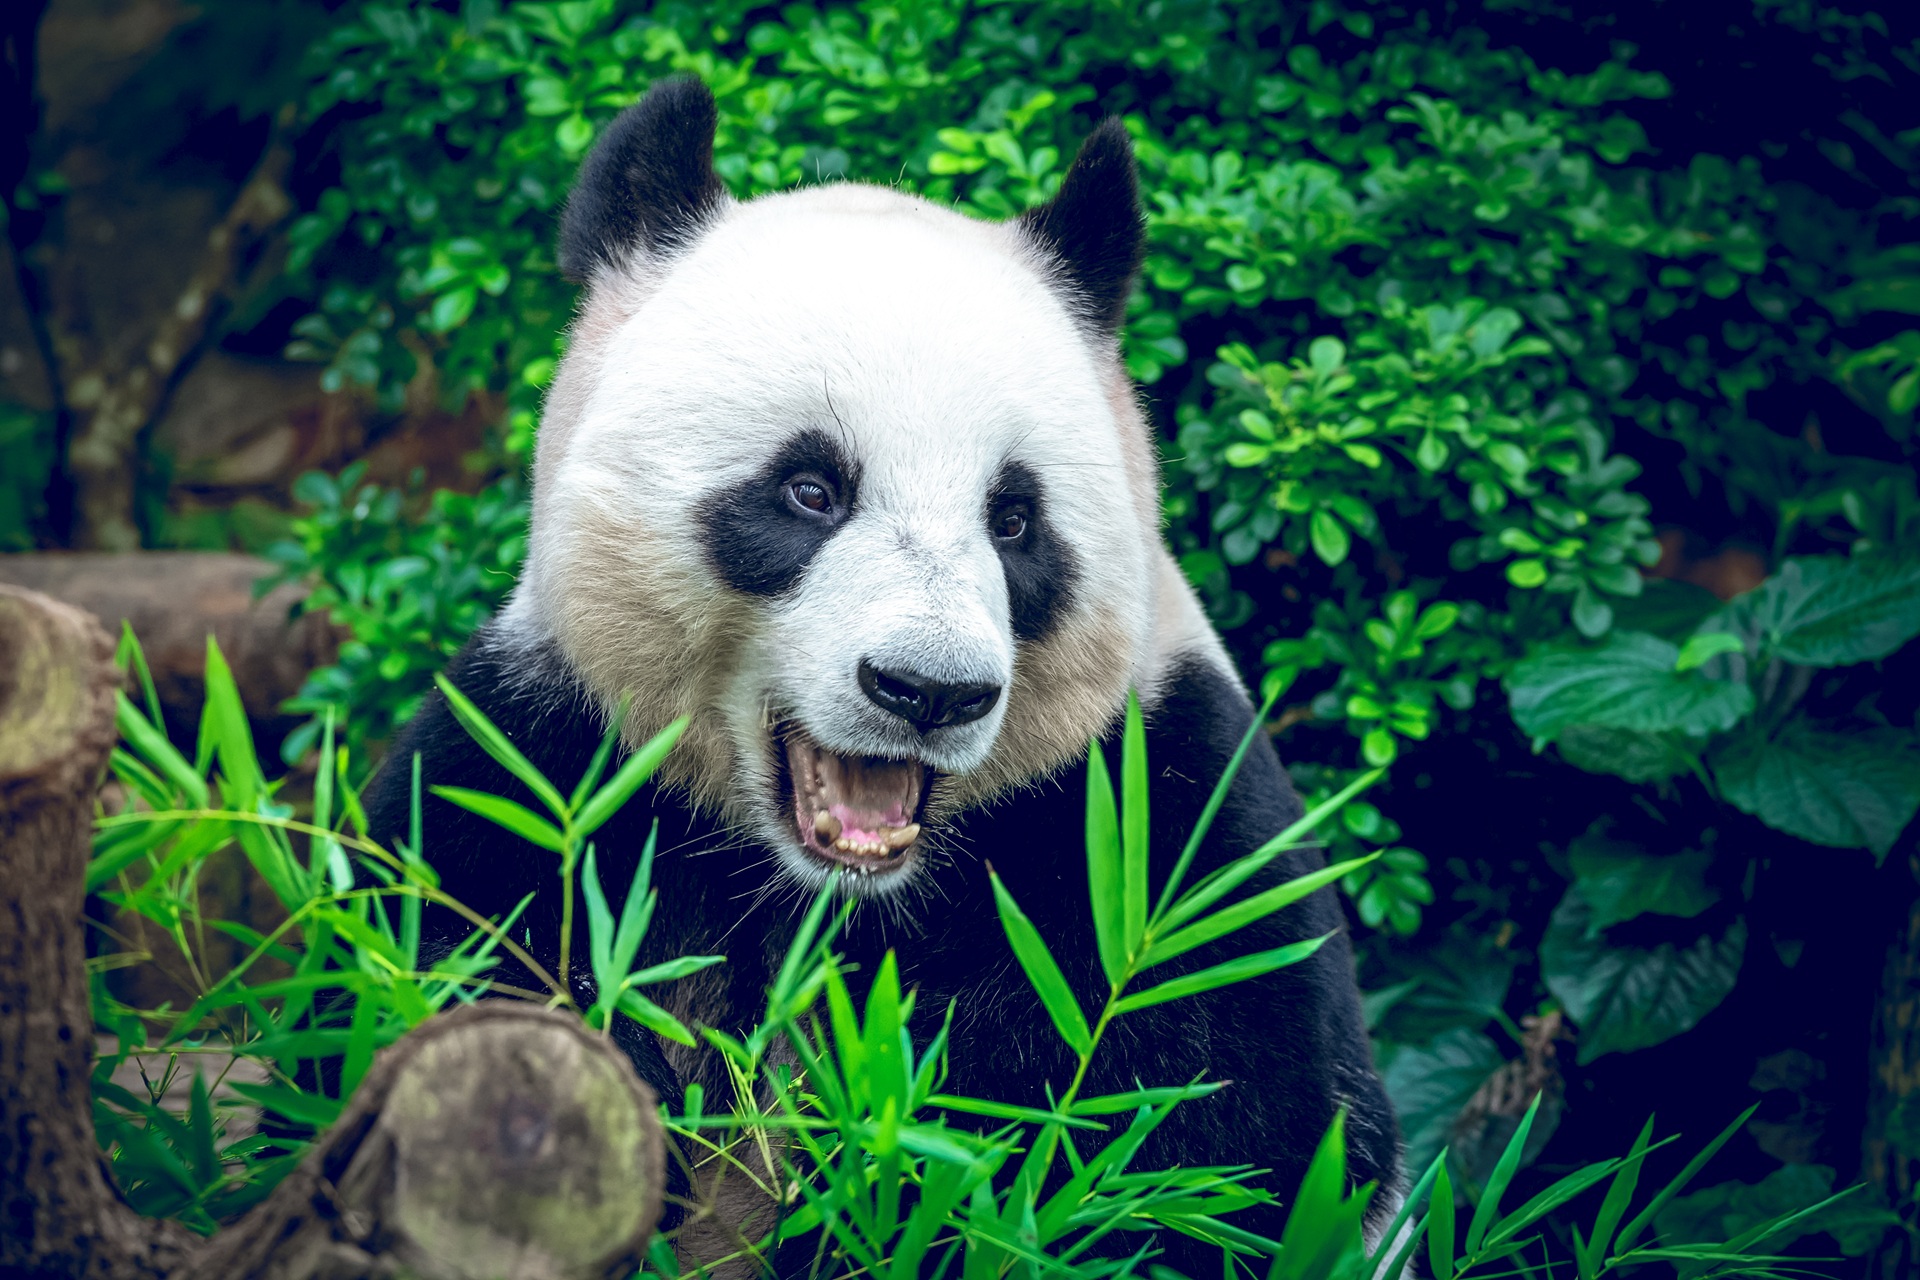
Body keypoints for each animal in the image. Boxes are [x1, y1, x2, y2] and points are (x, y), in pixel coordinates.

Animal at [365, 77, 1400, 1272]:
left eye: (1015, 518)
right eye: (810, 488)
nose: (930, 690)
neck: (822, 896)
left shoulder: (1154, 826)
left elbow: (1208, 1159)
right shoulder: (545, 762)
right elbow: (425, 971)